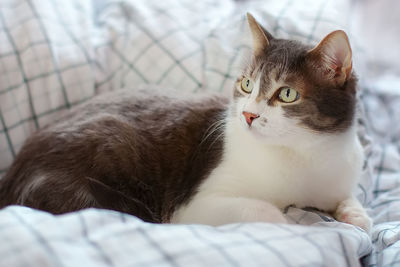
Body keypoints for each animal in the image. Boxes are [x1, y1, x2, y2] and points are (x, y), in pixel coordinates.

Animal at [0, 14, 372, 232]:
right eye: (246, 85)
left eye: (288, 94)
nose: (248, 115)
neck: (302, 153)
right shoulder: (194, 206)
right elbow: (264, 210)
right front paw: (292, 224)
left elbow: (349, 199)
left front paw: (356, 215)